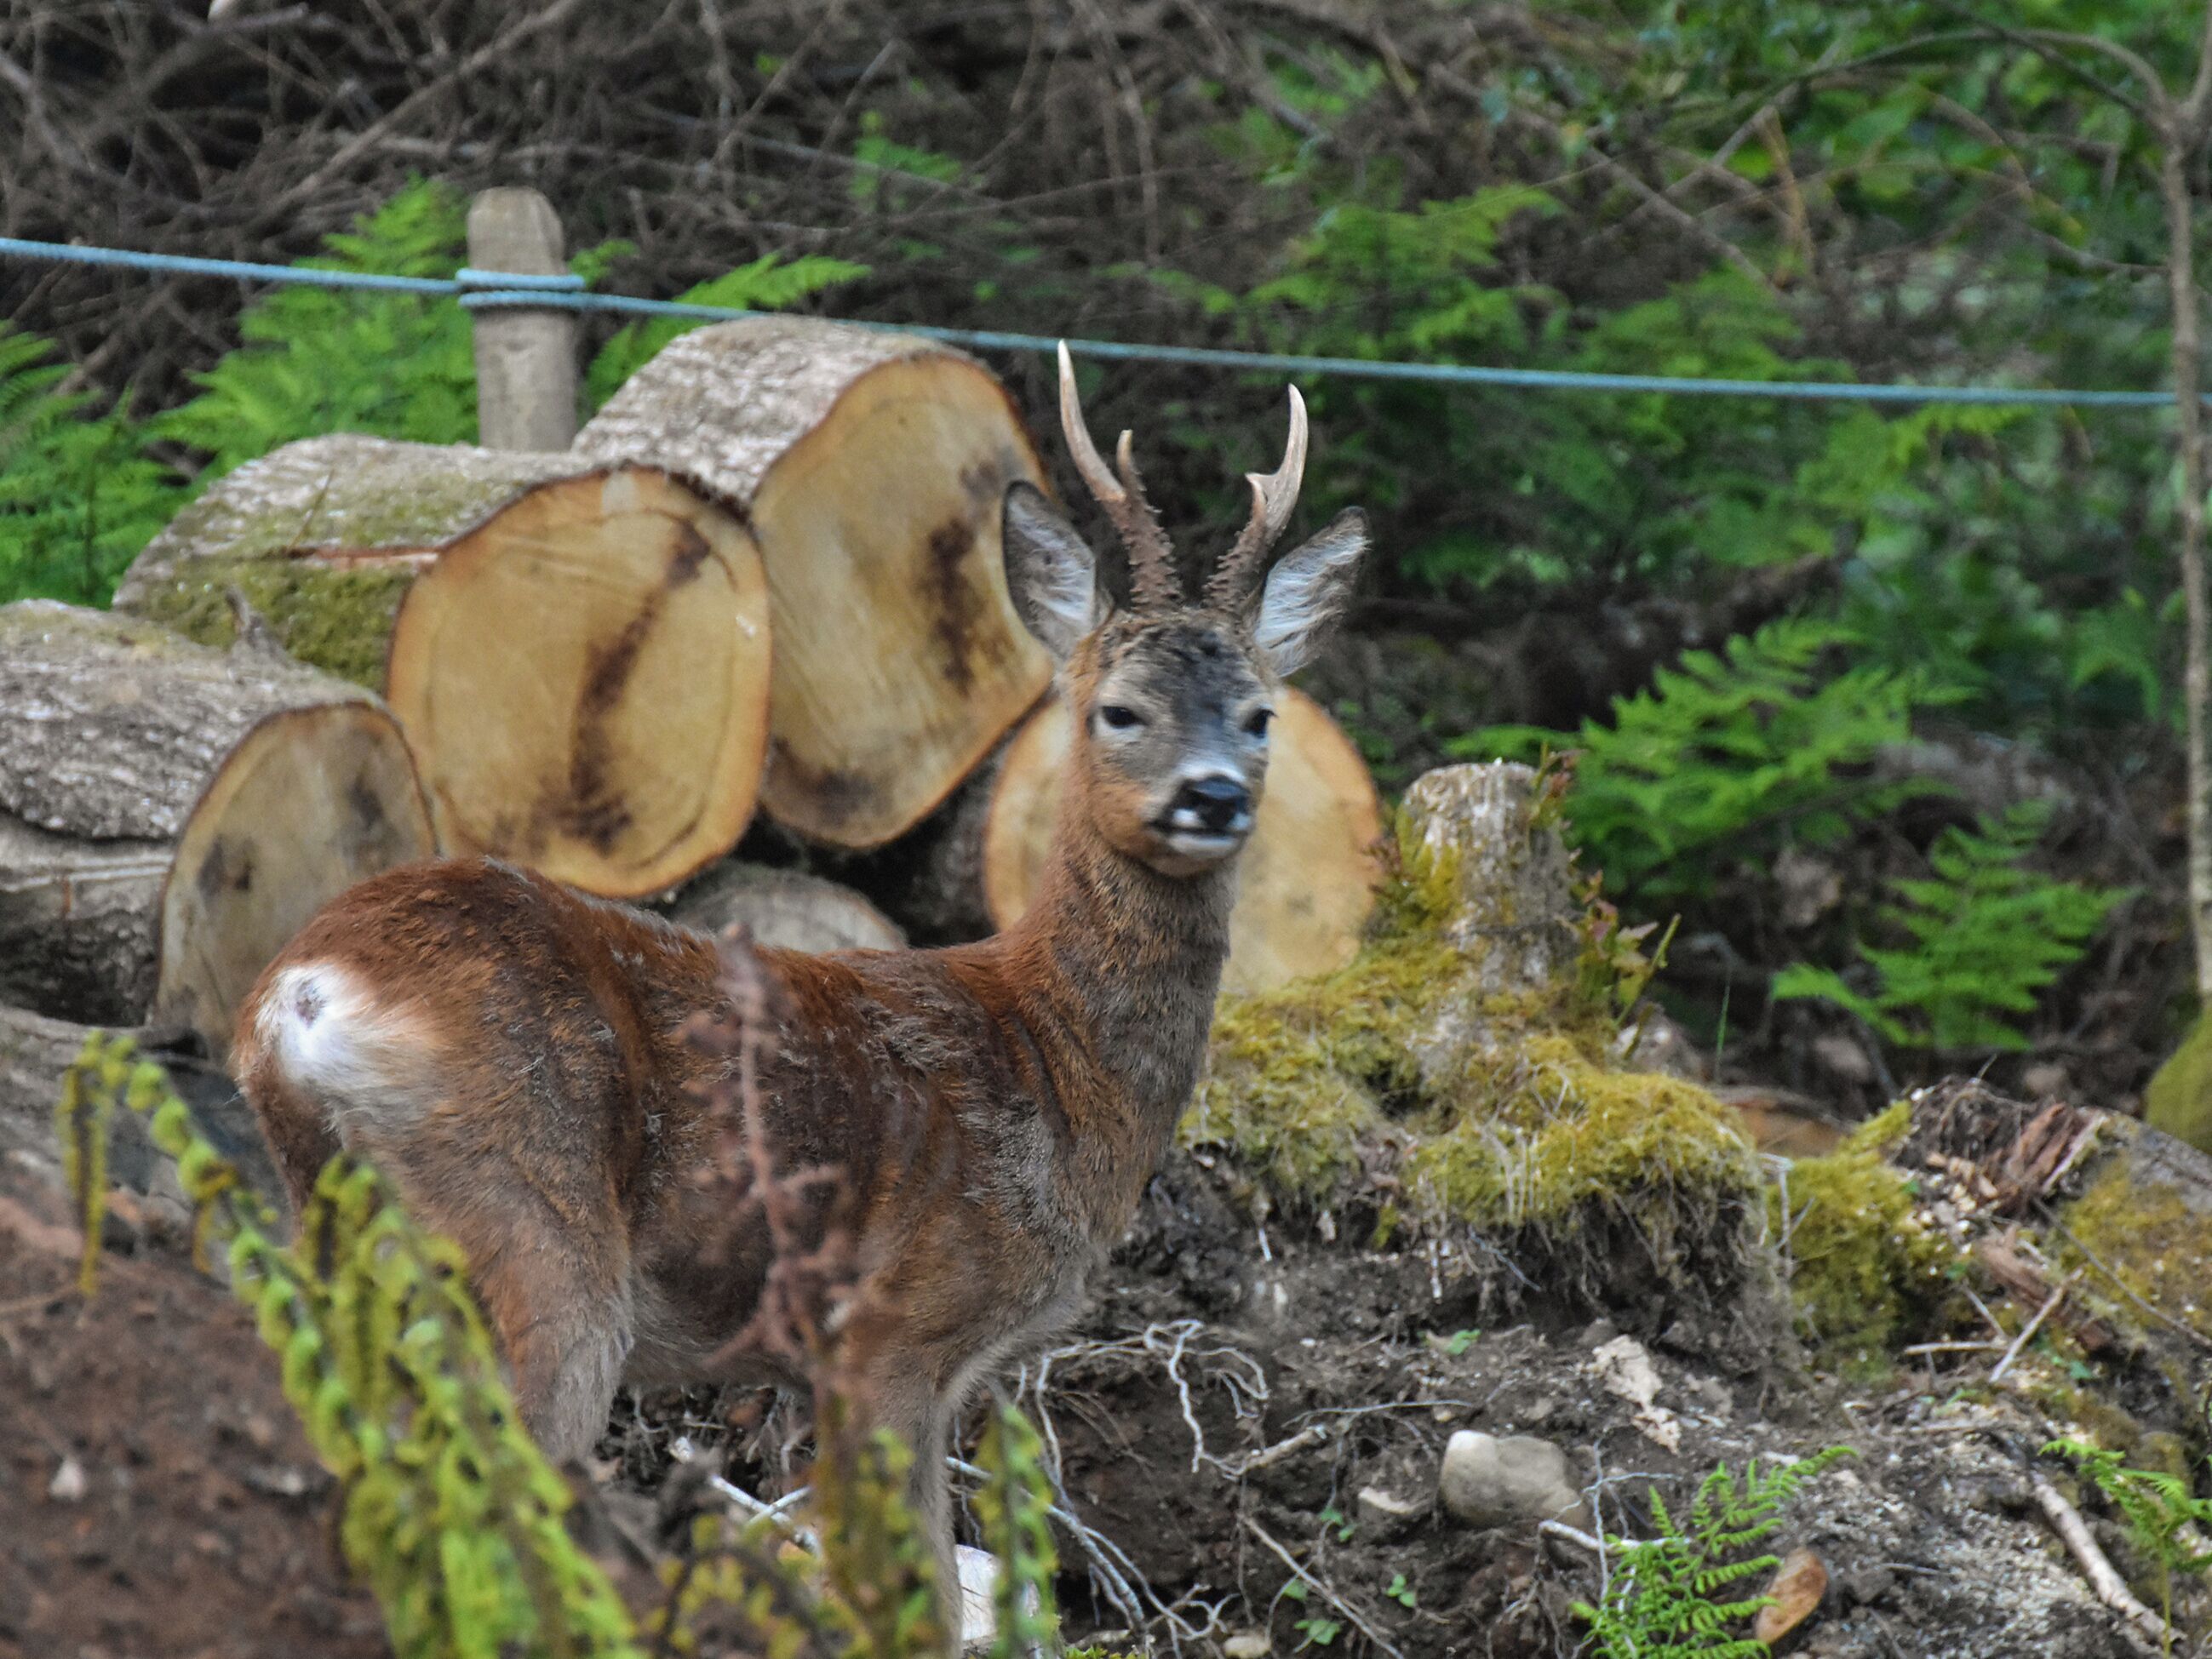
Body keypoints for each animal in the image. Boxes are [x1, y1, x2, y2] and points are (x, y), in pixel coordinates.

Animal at [230, 341, 1369, 1605]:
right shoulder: (890, 1328)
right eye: (1117, 710)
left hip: (340, 1230)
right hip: (533, 1225)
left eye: (1261, 715)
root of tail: (305, 993)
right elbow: (917, 1589)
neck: (1054, 1059)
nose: (1210, 794)